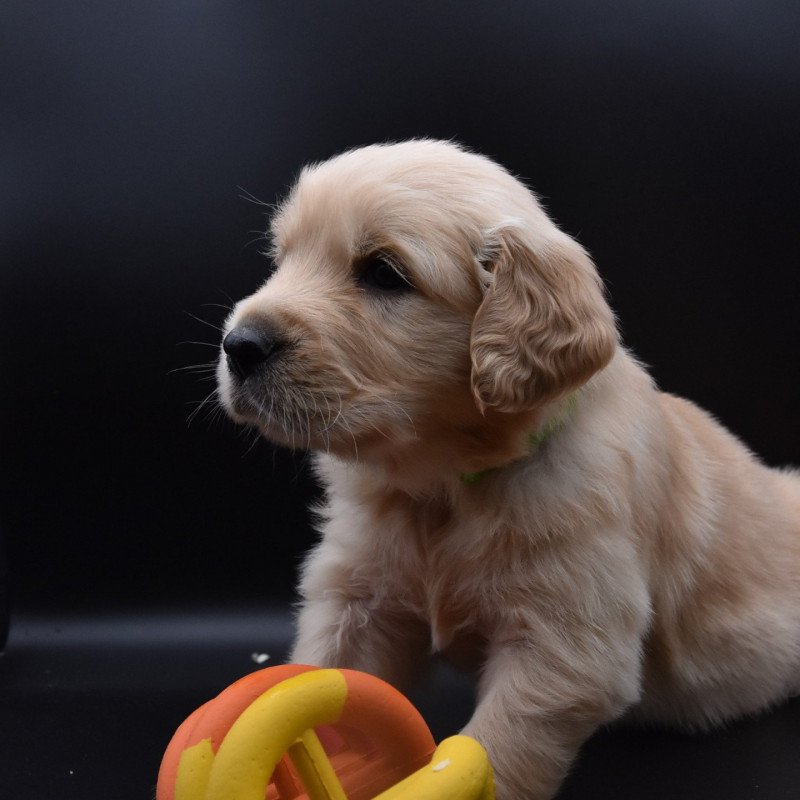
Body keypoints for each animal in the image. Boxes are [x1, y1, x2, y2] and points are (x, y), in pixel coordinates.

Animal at [216, 141, 800, 796]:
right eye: (282, 260)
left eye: (384, 273)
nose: (238, 345)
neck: (444, 487)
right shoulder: (358, 600)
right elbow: (326, 685)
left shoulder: (563, 644)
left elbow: (499, 750)